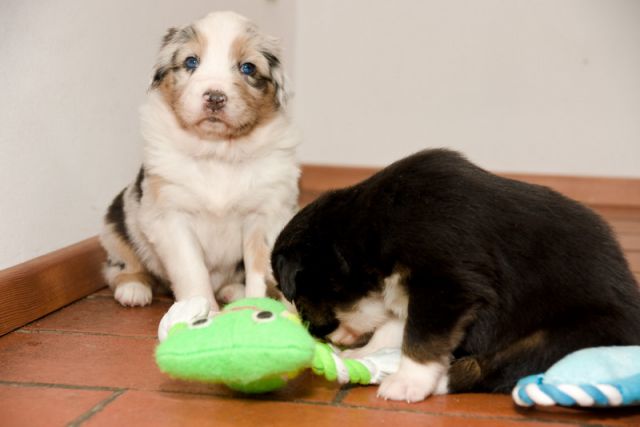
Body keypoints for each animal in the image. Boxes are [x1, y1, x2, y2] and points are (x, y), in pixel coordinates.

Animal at [272, 149, 640, 402]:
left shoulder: (448, 284)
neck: (371, 231)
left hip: (563, 336)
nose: (315, 332)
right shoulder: (415, 292)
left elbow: (421, 338)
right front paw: (363, 354)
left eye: (300, 302)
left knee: (495, 369)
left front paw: (409, 381)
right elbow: (395, 328)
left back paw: (433, 382)